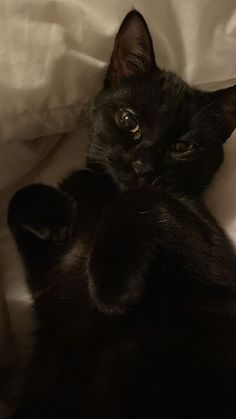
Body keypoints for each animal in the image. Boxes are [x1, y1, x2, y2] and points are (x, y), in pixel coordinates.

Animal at [7, 9, 236, 419]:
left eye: (182, 146)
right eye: (129, 121)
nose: (142, 164)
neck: (106, 191)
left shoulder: (221, 264)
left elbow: (145, 197)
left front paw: (110, 286)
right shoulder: (47, 275)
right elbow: (18, 197)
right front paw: (58, 214)